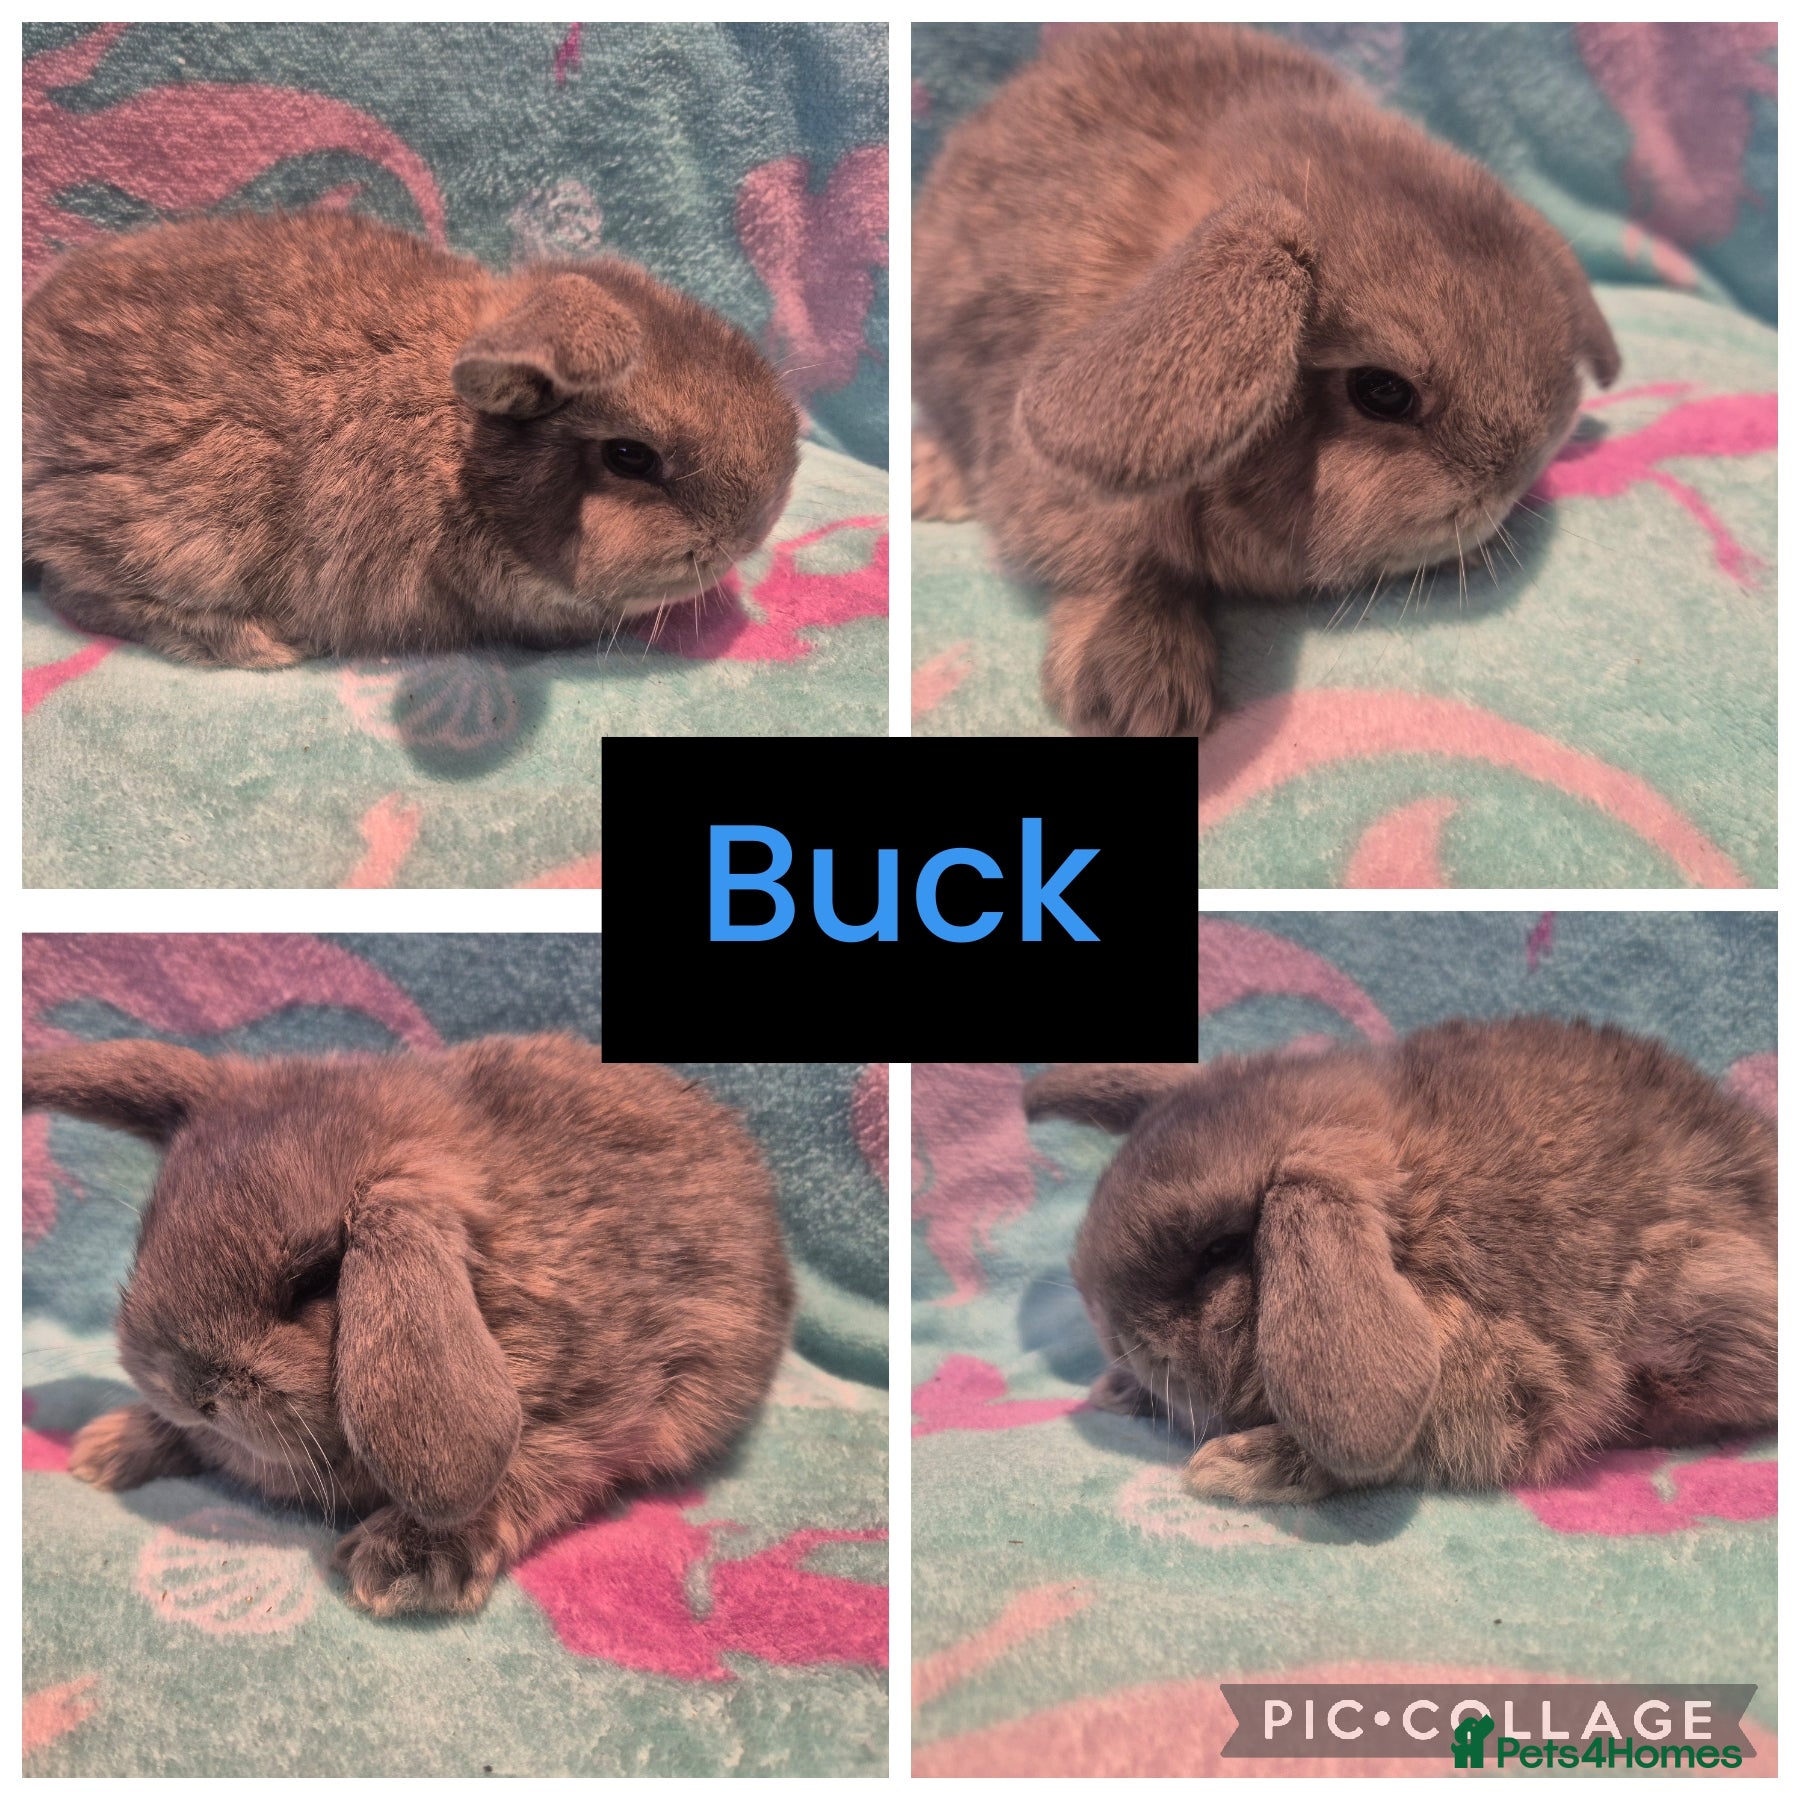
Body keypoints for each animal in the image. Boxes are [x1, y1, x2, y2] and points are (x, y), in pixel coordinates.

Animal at [23, 209, 801, 666]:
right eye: (630, 456)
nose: (754, 530)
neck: (456, 454)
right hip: (182, 534)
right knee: (82, 593)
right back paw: (266, 646)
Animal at [23, 1033, 795, 1614]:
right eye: (151, 1231)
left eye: (316, 1278)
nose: (189, 1389)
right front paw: (108, 1448)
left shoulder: (591, 1415)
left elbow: (524, 1475)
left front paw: (401, 1566)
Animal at [1024, 1017, 1775, 1504]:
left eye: (1222, 1250)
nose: (1114, 1336)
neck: (1419, 1239)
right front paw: (1116, 1392)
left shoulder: (1499, 1386)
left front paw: (1234, 1465)